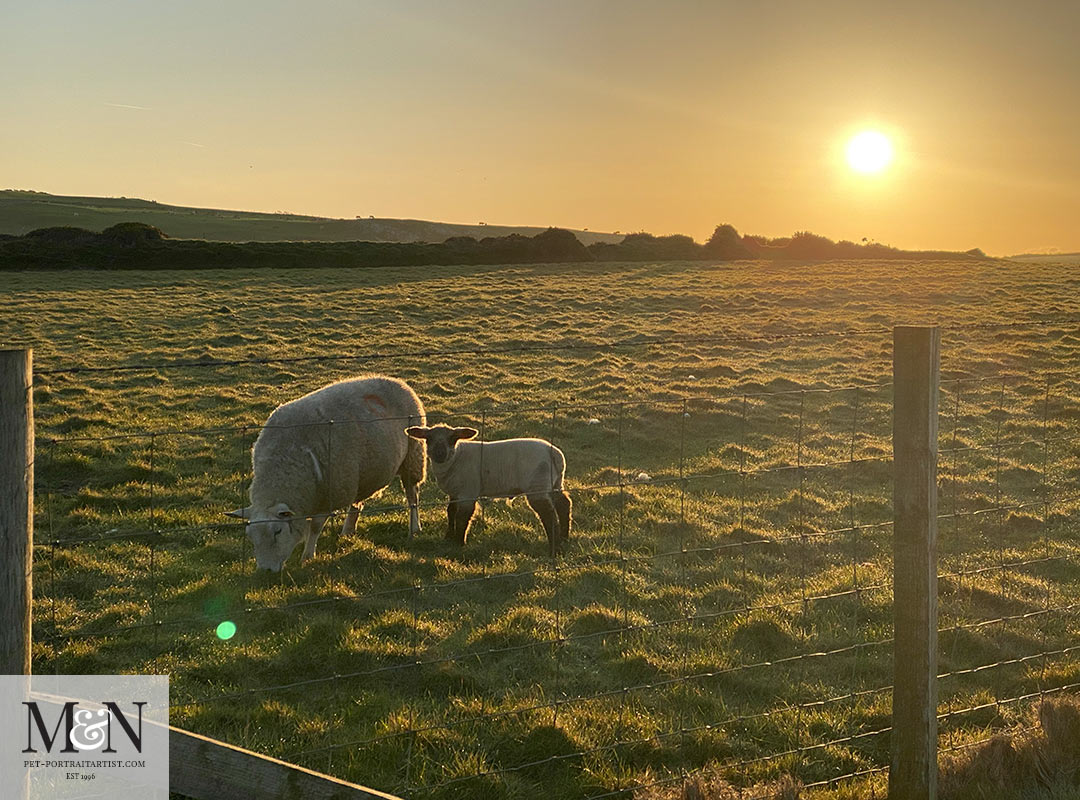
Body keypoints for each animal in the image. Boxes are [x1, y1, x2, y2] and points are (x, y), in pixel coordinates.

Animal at [227, 373, 425, 570]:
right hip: (359, 474)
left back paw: (415, 528)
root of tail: (396, 380)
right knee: (357, 502)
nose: (265, 572)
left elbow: (315, 527)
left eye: (278, 531)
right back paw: (348, 531)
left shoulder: (328, 493)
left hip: (413, 458)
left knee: (412, 497)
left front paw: (307, 556)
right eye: (250, 536)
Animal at [406, 425, 574, 557]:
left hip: (537, 486)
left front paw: (459, 542)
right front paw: (448, 536)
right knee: (564, 504)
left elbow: (462, 517)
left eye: (453, 438)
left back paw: (555, 549)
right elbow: (451, 511)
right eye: (428, 438)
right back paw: (564, 537)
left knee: (549, 515)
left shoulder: (468, 492)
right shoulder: (455, 492)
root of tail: (555, 454)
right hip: (555, 483)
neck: (455, 458)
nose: (440, 454)